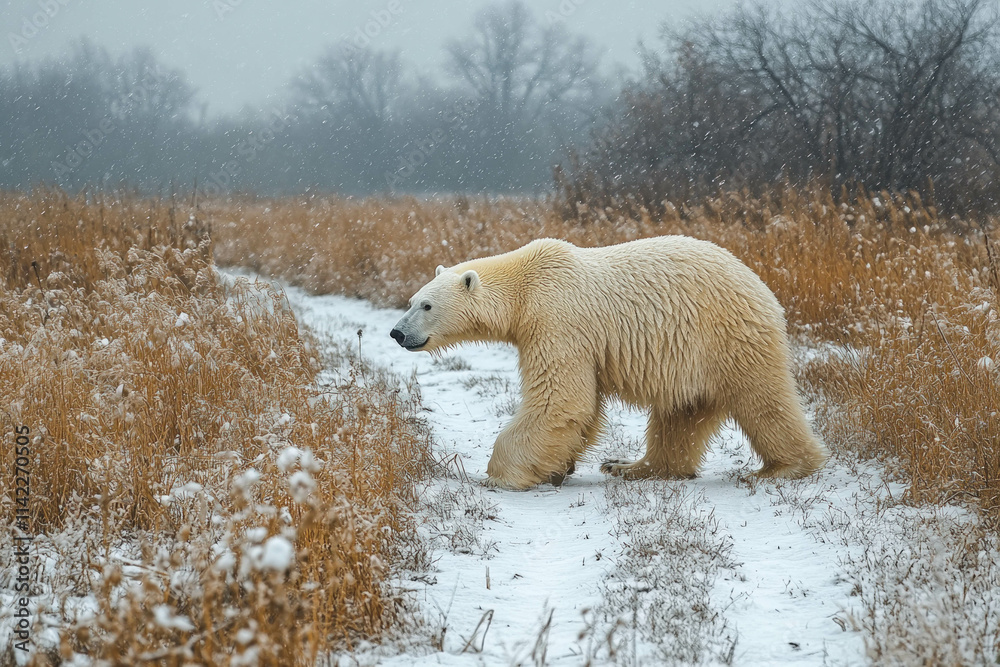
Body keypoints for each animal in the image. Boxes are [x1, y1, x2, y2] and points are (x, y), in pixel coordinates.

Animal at [390, 237, 828, 488]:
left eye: (426, 306)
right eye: (411, 300)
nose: (397, 333)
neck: (525, 284)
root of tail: (763, 289)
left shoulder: (557, 320)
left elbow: (560, 399)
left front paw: (502, 474)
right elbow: (583, 407)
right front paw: (557, 468)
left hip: (728, 337)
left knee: (764, 401)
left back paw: (782, 468)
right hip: (692, 360)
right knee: (681, 416)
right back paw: (629, 466)